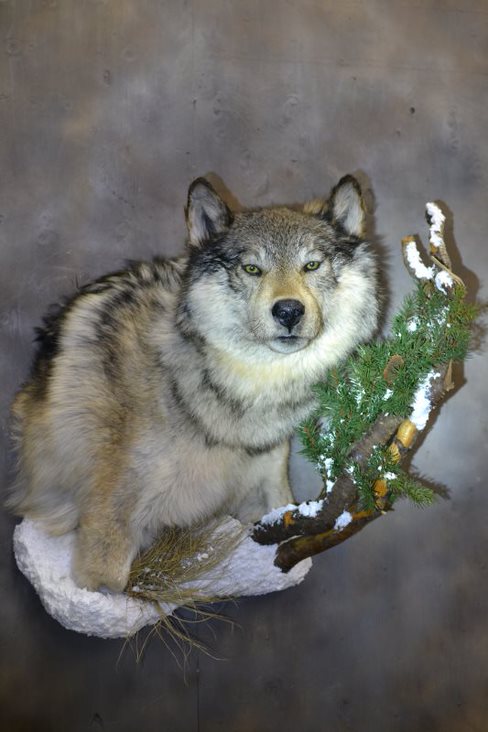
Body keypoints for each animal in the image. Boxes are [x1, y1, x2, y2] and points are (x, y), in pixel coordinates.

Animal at [8, 174, 379, 592]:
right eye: (252, 268)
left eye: (311, 265)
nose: (288, 311)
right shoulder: (112, 511)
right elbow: (105, 581)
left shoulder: (266, 484)